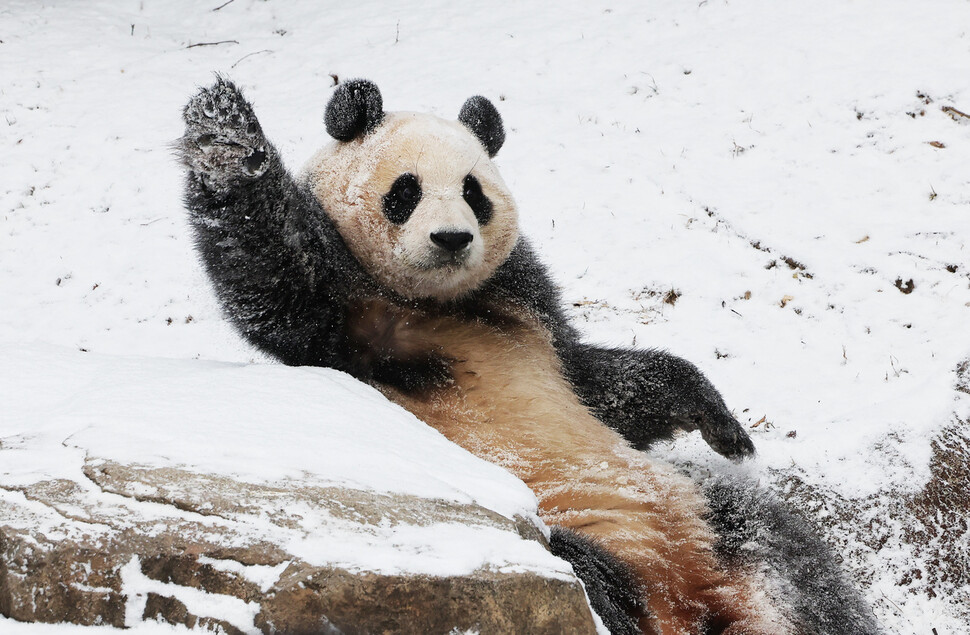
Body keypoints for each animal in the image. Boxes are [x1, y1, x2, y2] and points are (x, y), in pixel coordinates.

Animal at [178, 77, 880, 632]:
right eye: (405, 191)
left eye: (473, 192)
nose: (452, 238)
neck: (440, 306)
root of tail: (688, 601)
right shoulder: (348, 328)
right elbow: (276, 279)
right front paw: (224, 131)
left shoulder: (528, 313)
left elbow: (606, 383)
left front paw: (723, 424)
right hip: (558, 532)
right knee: (590, 578)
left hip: (704, 519)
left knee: (793, 562)